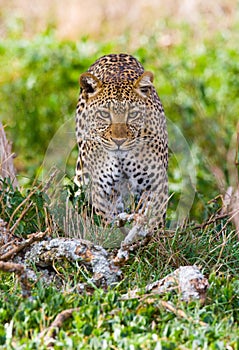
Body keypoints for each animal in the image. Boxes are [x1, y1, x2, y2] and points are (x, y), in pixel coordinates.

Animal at [74, 53, 168, 231]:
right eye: (104, 114)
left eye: (133, 114)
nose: (119, 141)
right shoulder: (102, 190)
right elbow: (107, 222)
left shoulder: (155, 185)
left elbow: (152, 219)